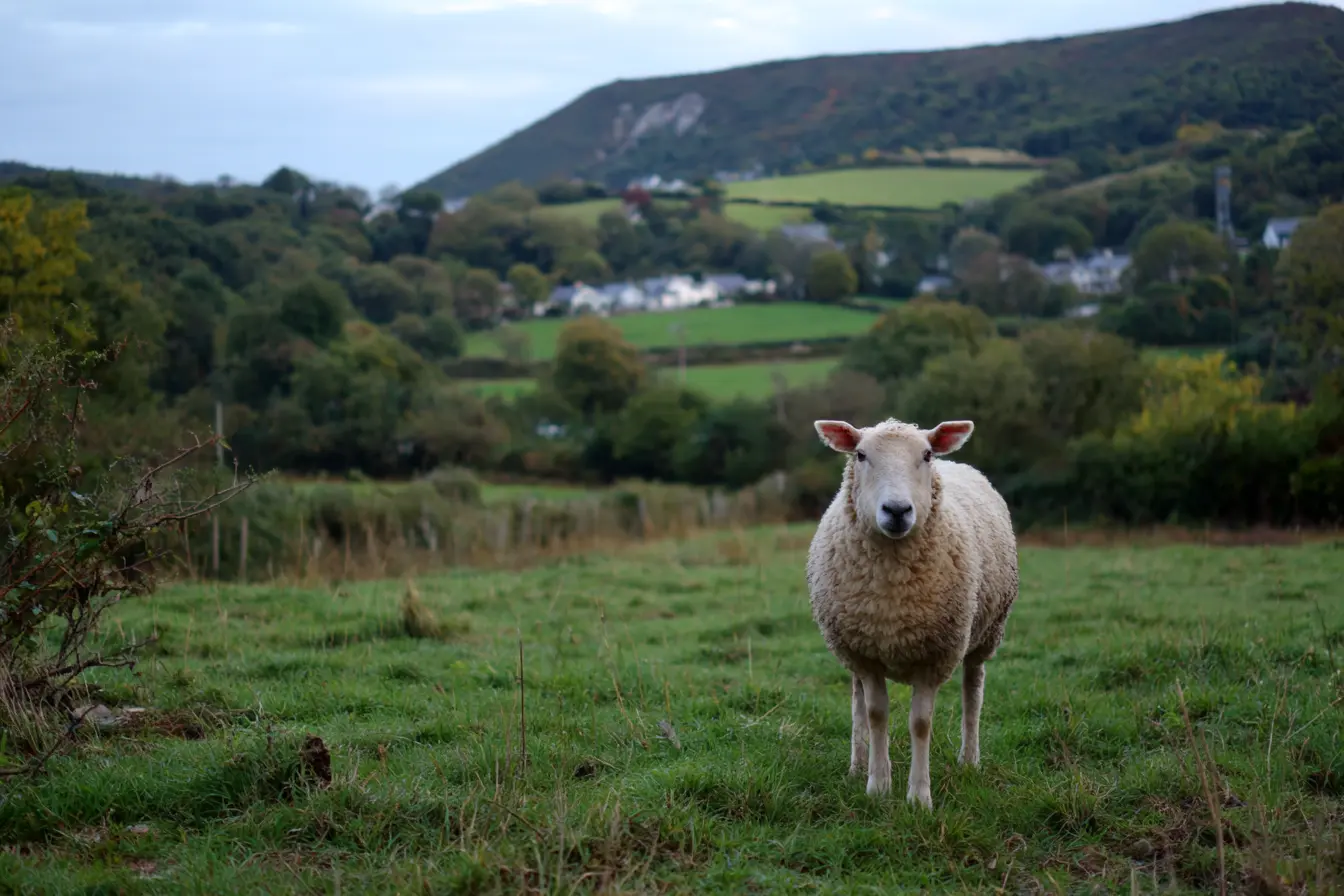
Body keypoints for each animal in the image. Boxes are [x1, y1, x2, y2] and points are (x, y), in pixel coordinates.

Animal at [804, 416, 1018, 809]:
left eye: (927, 454)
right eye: (860, 455)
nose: (897, 511)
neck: (894, 592)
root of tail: (959, 463)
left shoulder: (934, 656)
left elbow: (921, 723)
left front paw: (919, 797)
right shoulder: (866, 654)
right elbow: (875, 714)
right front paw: (877, 785)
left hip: (985, 632)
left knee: (973, 690)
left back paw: (969, 760)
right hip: (850, 642)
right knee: (856, 699)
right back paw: (857, 765)